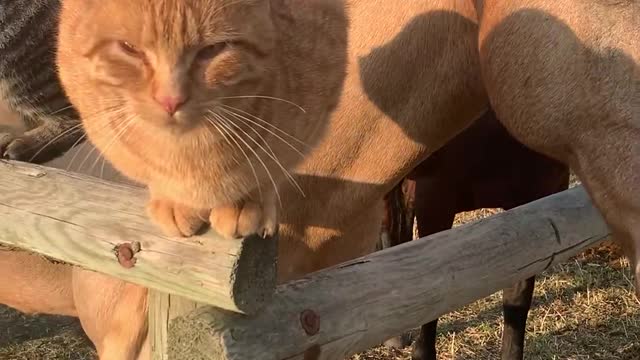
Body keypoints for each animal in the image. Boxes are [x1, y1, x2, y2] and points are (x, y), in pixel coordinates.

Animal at [55, 0, 348, 240]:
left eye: (213, 49)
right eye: (130, 49)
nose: (170, 100)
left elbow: (269, 171)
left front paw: (245, 201)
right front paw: (171, 200)